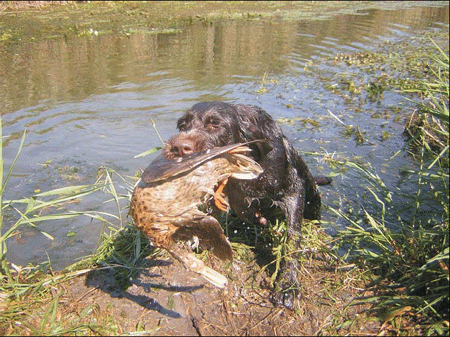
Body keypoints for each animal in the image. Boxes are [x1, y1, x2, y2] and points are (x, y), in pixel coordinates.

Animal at [167, 100, 328, 308]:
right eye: (182, 125)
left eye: (215, 124)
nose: (178, 147)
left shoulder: (295, 191)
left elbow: (292, 240)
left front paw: (288, 285)